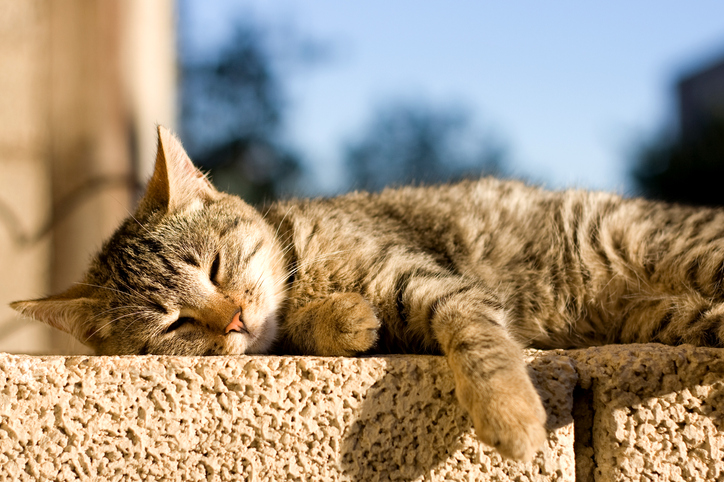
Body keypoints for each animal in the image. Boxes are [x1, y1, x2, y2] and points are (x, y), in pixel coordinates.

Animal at [9, 126, 724, 462]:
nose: (234, 318)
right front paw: (344, 320)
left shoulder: (439, 286)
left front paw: (511, 416)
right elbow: (327, 327)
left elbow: (481, 348)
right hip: (671, 313)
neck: (302, 264)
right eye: (173, 325)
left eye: (212, 268)